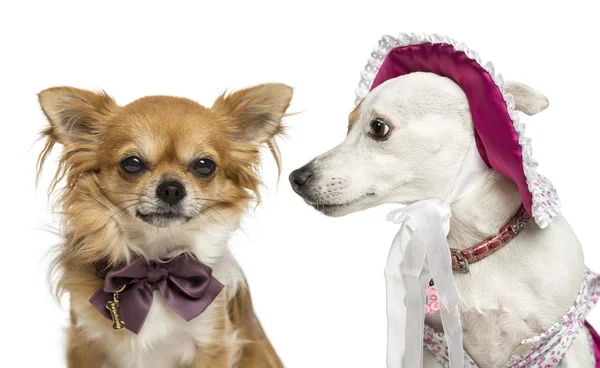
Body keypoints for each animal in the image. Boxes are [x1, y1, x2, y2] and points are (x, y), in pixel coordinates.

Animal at [290, 71, 592, 366]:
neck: (475, 247)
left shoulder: (565, 339)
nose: (296, 178)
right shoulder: (435, 345)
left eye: (378, 128)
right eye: (348, 127)